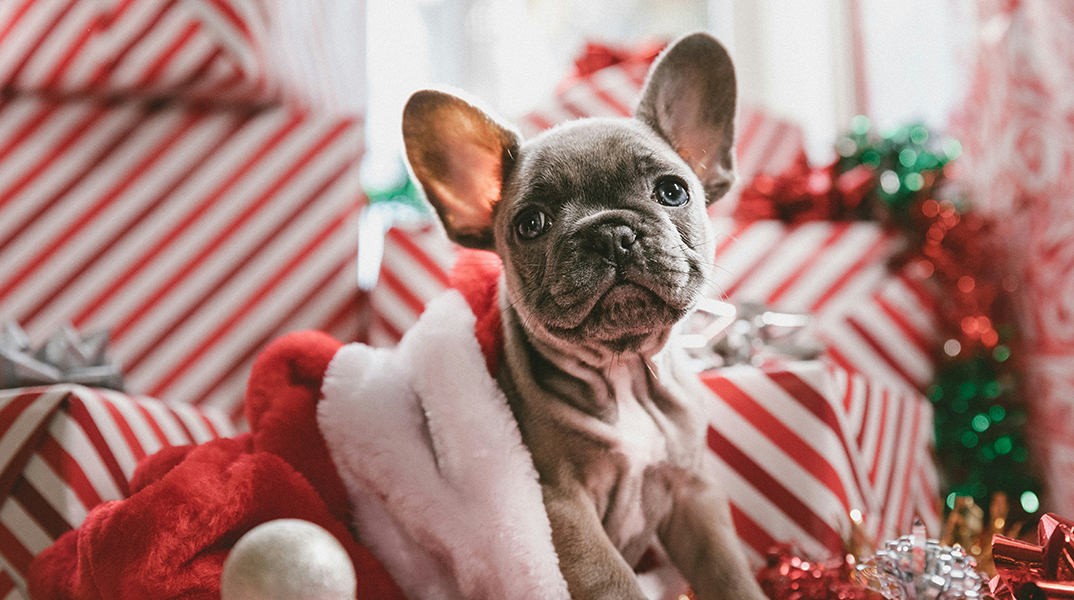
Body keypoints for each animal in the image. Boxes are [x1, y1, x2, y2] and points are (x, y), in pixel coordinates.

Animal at [403, 31, 773, 600]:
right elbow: (615, 583)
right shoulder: (562, 510)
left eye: (672, 192)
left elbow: (729, 573)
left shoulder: (694, 495)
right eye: (530, 224)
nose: (610, 232)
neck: (623, 374)